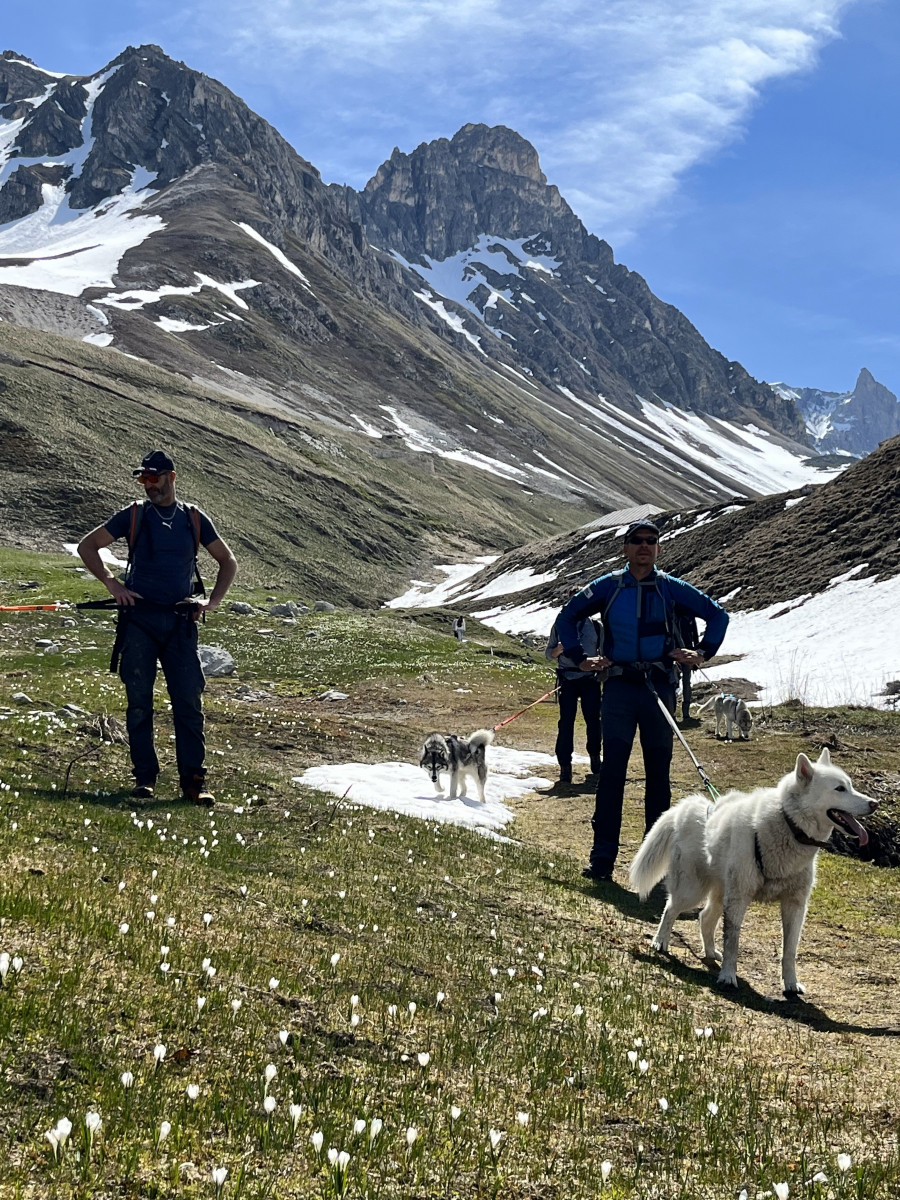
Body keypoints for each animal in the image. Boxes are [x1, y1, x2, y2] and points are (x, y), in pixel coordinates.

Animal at [628, 748, 878, 993]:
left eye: (850, 785)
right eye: (839, 789)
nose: (874, 803)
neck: (789, 825)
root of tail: (690, 809)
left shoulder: (795, 905)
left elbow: (789, 951)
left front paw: (791, 983)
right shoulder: (738, 899)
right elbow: (733, 942)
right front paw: (728, 976)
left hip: (719, 895)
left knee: (704, 917)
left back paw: (710, 952)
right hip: (692, 891)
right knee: (670, 909)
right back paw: (660, 941)